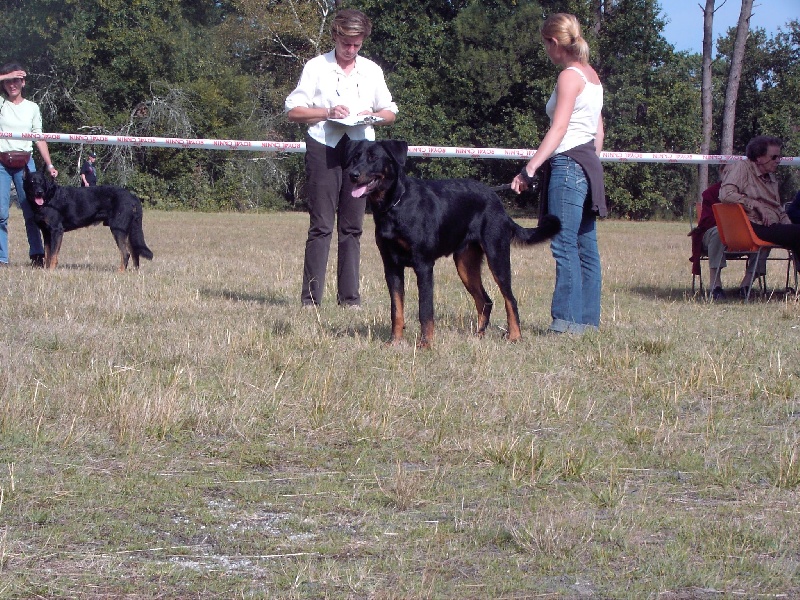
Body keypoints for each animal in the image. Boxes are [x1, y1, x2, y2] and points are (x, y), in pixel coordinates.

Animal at [23, 170, 152, 270]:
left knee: (126, 253)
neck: (48, 198)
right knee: (135, 252)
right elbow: (48, 253)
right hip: (128, 231)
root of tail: (132, 196)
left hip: (118, 229)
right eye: (32, 182)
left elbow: (53, 254)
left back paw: (120, 272)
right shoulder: (46, 233)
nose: (39, 192)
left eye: (41, 181)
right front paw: (46, 270)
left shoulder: (56, 231)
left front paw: (51, 271)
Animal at [346, 139, 564, 346]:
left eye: (374, 157)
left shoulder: (423, 265)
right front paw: (395, 342)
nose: (352, 175)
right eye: (355, 157)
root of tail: (497, 201)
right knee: (485, 301)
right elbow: (396, 309)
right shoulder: (391, 266)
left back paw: (515, 336)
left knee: (510, 299)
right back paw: (478, 336)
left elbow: (425, 310)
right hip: (465, 264)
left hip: (497, 256)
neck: (394, 205)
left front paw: (426, 344)